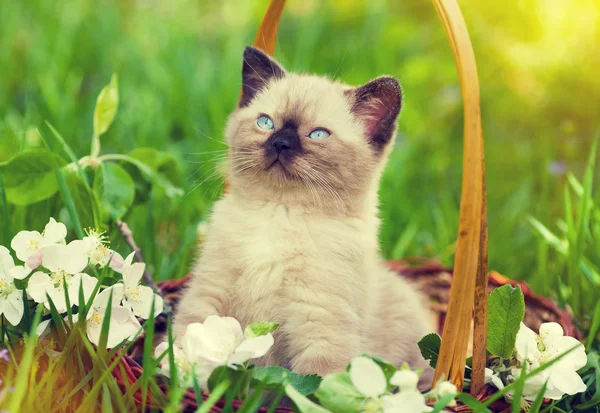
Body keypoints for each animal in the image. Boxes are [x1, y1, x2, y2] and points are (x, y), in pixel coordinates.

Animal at [173, 46, 436, 374]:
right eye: (266, 123)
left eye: (318, 135)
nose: (280, 143)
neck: (280, 213)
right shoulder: (210, 291)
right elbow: (187, 339)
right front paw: (176, 374)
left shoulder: (319, 326)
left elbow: (313, 384)